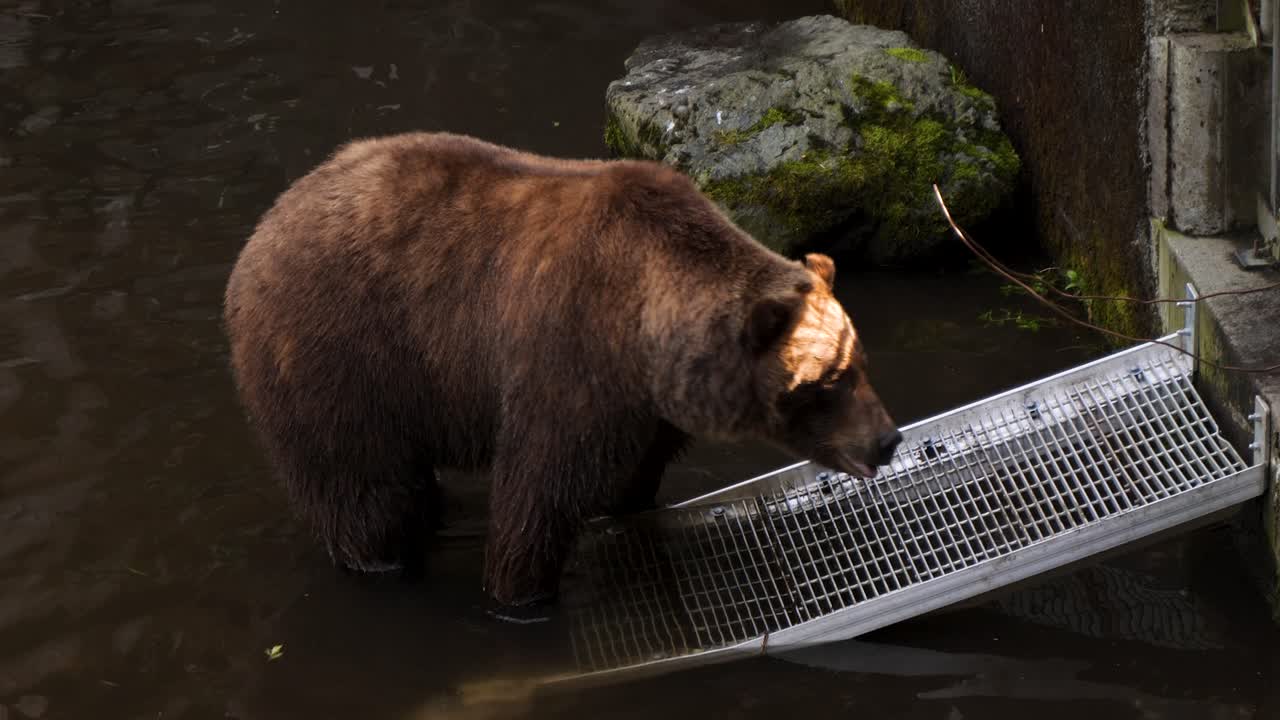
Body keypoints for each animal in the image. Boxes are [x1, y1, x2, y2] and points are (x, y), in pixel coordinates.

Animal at [222, 131, 902, 607]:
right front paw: (519, 594)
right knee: (364, 493)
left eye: (860, 362)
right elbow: (537, 493)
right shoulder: (569, 358)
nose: (888, 439)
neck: (648, 332)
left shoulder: (646, 410)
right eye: (827, 381)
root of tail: (261, 230)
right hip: (340, 358)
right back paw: (384, 560)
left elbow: (630, 480)